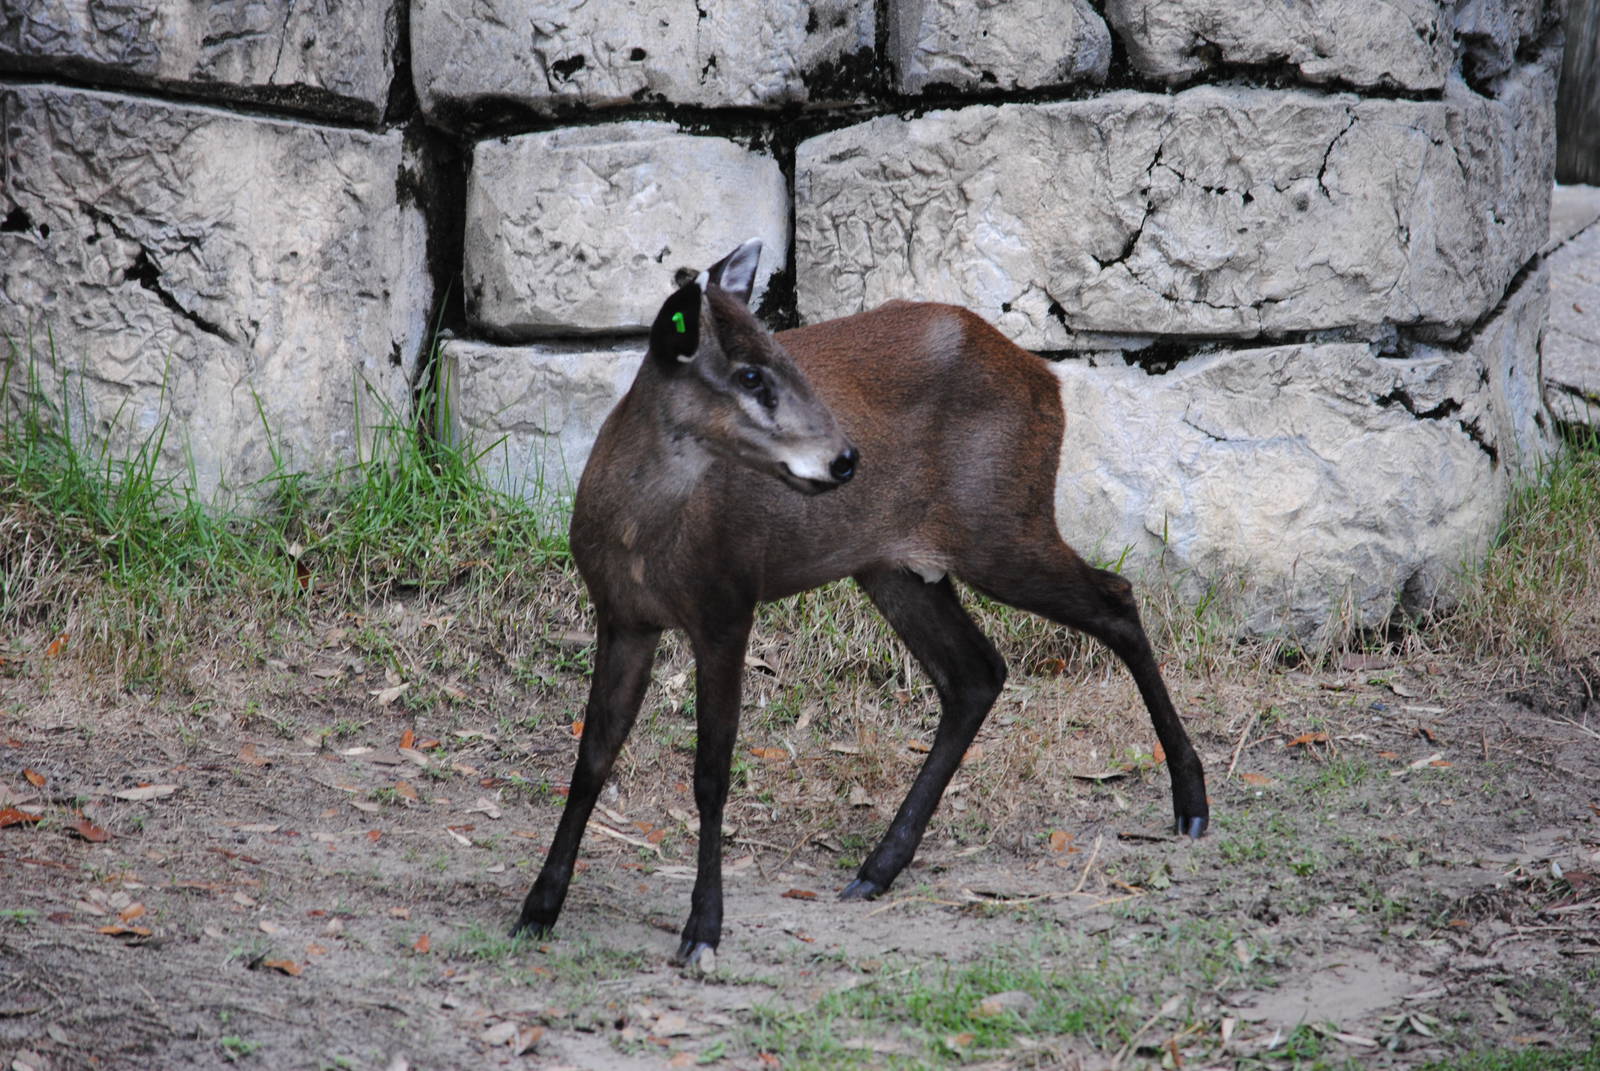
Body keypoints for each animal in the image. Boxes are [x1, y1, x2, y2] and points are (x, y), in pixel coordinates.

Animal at [513, 239, 1209, 969]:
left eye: (785, 356)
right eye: (750, 375)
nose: (845, 459)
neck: (642, 538)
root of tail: (1049, 378)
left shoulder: (727, 605)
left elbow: (710, 772)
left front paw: (703, 930)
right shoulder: (622, 617)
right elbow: (592, 757)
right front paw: (539, 908)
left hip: (1002, 529)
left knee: (1116, 597)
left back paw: (1191, 803)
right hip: (894, 565)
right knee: (977, 671)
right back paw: (878, 868)